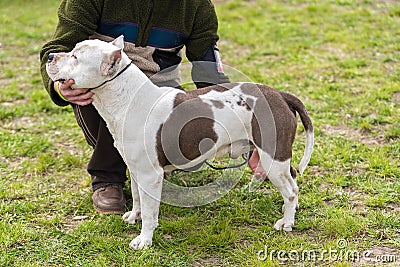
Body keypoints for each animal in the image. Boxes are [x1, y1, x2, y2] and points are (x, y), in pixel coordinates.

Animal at [47, 36, 314, 251]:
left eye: (75, 57)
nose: (50, 55)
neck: (127, 99)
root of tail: (280, 95)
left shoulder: (150, 175)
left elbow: (151, 211)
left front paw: (144, 240)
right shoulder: (136, 169)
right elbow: (137, 197)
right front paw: (134, 216)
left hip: (272, 157)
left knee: (290, 190)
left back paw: (287, 222)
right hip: (276, 158)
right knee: (292, 180)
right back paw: (292, 211)